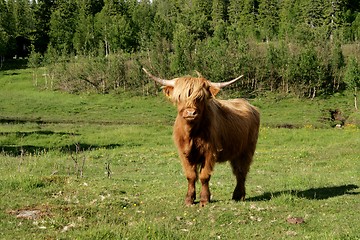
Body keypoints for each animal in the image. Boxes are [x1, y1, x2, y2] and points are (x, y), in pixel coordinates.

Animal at [143, 68, 258, 206]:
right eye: (179, 97)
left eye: (200, 98)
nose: (190, 113)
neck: (191, 134)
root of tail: (249, 105)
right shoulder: (183, 153)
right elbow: (191, 175)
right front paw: (189, 199)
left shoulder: (210, 152)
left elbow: (204, 176)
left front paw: (204, 200)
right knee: (238, 171)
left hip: (247, 150)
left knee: (241, 172)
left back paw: (239, 196)